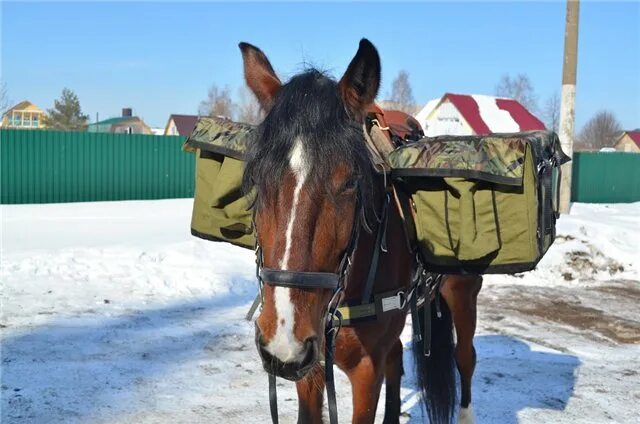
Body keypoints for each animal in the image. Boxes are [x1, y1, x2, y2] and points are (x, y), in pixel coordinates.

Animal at [238, 38, 482, 422]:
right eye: (256, 179)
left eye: (350, 182)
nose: (283, 343)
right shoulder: (311, 367)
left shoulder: (367, 369)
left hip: (463, 294)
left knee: (465, 359)